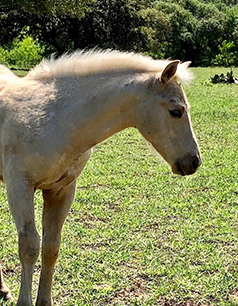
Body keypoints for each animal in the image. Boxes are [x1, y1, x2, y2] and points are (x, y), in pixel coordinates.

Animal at [0, 50, 201, 306]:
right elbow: (29, 247)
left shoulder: (61, 190)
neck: (55, 119)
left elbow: (51, 247)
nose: (194, 161)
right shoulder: (19, 187)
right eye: (176, 111)